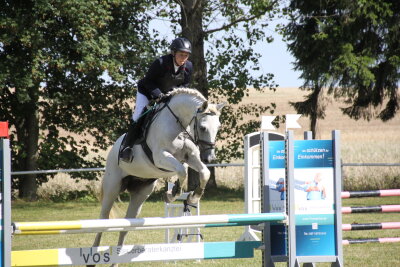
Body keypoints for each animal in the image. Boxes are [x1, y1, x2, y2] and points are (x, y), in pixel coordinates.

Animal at [88, 88, 225, 267]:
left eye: (218, 127)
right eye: (202, 127)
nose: (209, 158)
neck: (178, 124)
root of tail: (113, 149)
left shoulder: (191, 157)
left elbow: (204, 173)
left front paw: (194, 196)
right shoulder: (161, 157)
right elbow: (182, 171)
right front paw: (173, 193)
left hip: (141, 193)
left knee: (127, 224)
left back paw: (115, 262)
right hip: (112, 187)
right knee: (102, 220)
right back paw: (92, 259)